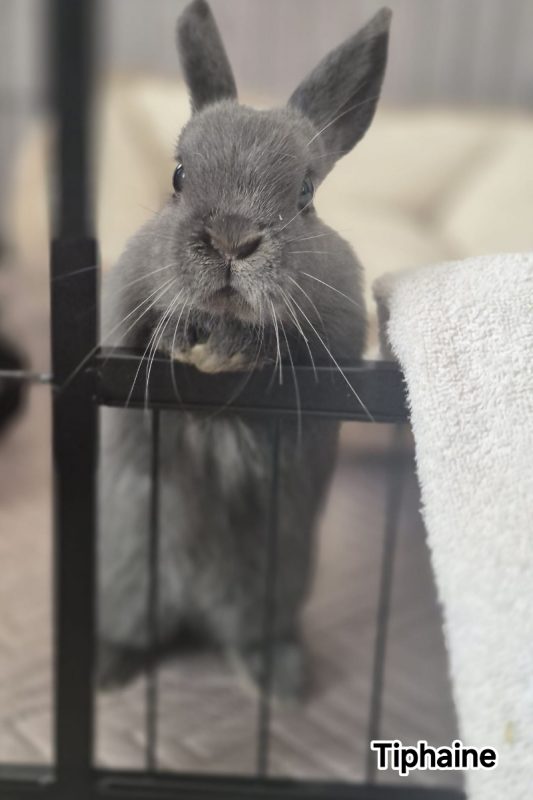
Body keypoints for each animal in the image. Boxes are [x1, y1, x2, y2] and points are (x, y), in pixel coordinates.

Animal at [98, 0, 391, 697]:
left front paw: (229, 348)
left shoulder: (334, 341)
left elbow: (284, 345)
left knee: (252, 635)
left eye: (306, 194)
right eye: (178, 176)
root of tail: (198, 612)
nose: (232, 240)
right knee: (136, 630)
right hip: (130, 580)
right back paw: (109, 670)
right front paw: (190, 342)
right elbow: (150, 331)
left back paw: (281, 683)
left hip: (271, 590)